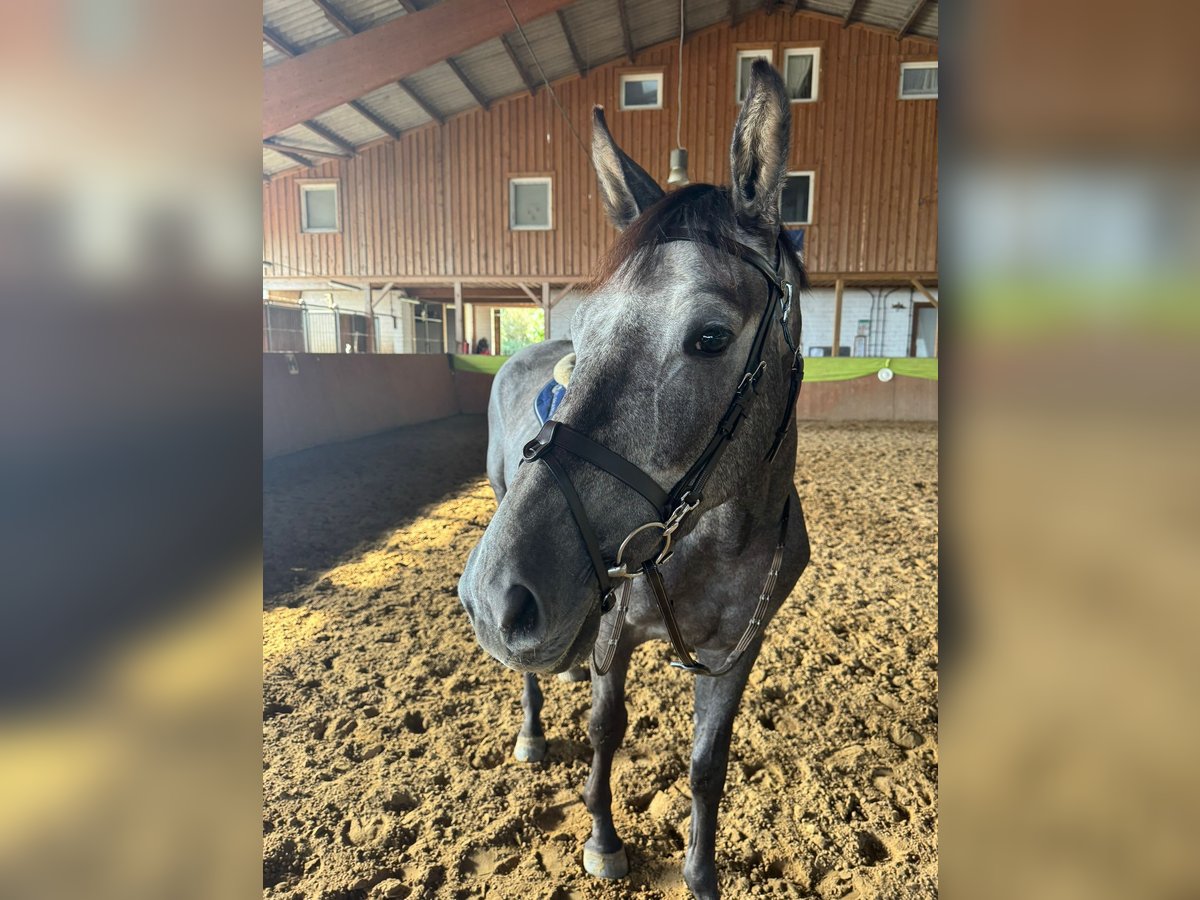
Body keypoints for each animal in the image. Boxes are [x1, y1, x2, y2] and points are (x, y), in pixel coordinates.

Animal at [456, 60, 806, 897]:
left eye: (709, 336)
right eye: (585, 331)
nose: (494, 598)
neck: (719, 537)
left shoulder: (739, 651)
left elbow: (708, 764)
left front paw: (700, 873)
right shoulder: (614, 627)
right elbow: (605, 729)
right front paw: (604, 841)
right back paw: (532, 732)